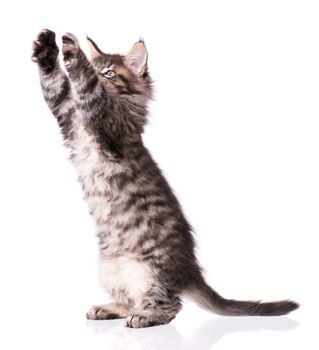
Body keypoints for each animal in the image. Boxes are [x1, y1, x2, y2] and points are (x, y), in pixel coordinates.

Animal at [31, 30, 298, 328]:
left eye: (109, 73)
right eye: (99, 69)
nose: (99, 73)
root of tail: (189, 271)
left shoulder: (107, 120)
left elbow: (89, 89)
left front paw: (73, 52)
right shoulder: (68, 115)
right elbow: (55, 85)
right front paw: (46, 48)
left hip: (151, 271)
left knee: (170, 306)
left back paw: (144, 316)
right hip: (110, 267)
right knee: (130, 300)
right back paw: (109, 309)